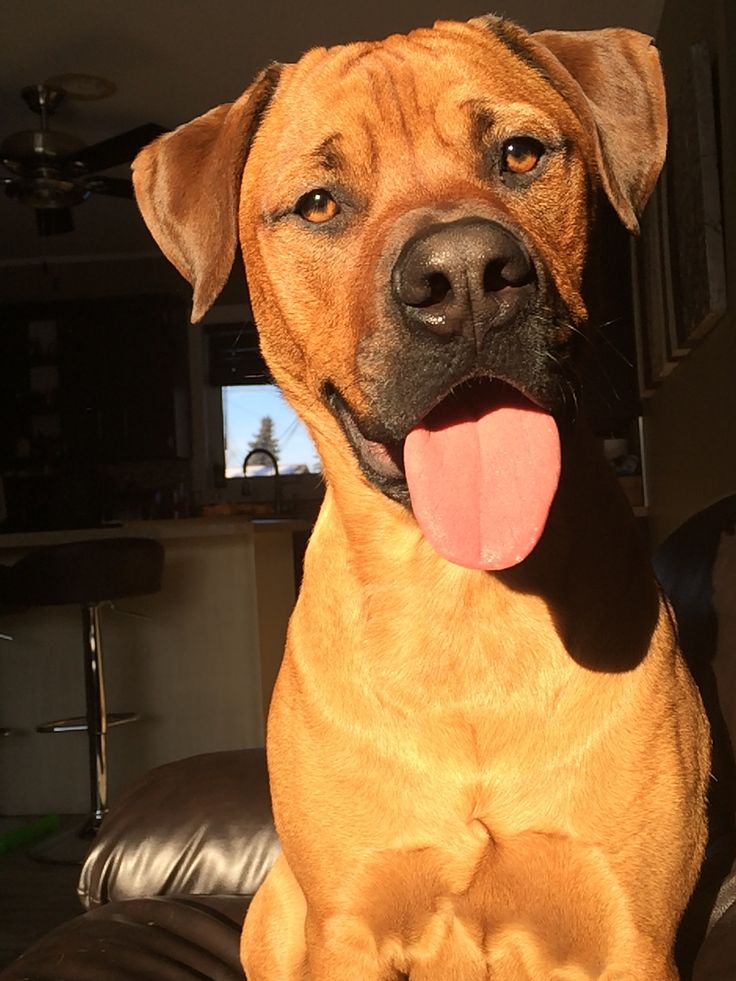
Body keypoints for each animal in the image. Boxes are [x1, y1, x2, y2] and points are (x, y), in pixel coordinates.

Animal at [135, 15, 712, 980]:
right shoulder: (348, 925)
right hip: (277, 910)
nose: (466, 276)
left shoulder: (631, 931)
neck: (463, 604)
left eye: (520, 153)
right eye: (319, 203)